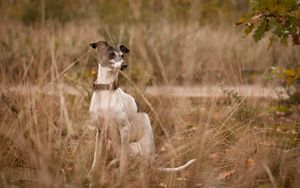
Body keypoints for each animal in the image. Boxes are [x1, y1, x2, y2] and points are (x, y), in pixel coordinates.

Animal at [88, 40, 197, 179]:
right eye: (111, 54)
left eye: (122, 55)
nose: (124, 65)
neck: (106, 90)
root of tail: (153, 163)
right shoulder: (100, 130)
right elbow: (96, 157)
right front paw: (92, 173)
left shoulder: (125, 129)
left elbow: (124, 161)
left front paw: (121, 177)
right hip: (114, 144)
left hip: (133, 146)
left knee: (135, 164)